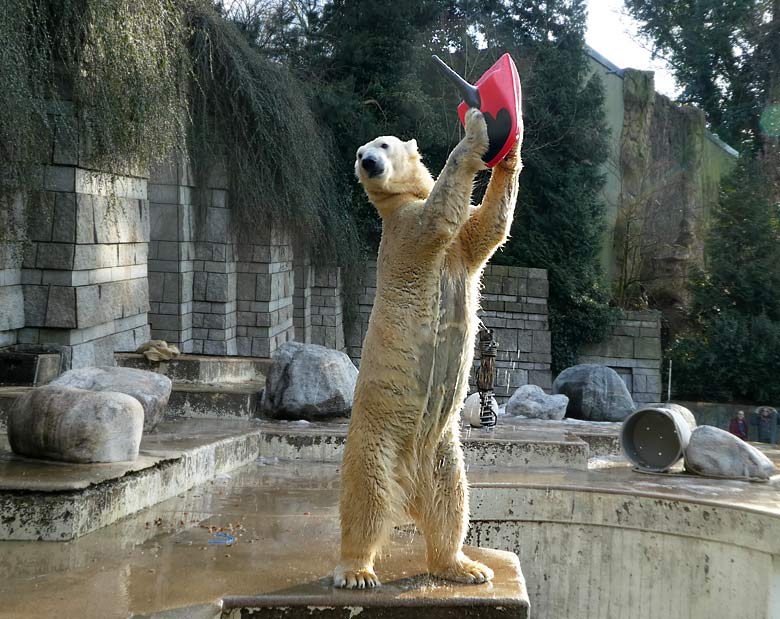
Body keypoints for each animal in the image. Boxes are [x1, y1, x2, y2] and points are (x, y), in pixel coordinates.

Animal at [336, 108, 524, 592]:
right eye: (360, 153)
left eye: (381, 145)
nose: (369, 163)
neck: (397, 201)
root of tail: (408, 490)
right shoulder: (409, 232)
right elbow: (441, 213)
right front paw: (476, 126)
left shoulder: (459, 248)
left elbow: (487, 226)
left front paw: (508, 149)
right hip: (377, 440)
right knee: (367, 500)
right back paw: (357, 571)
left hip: (441, 452)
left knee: (451, 503)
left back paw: (463, 566)